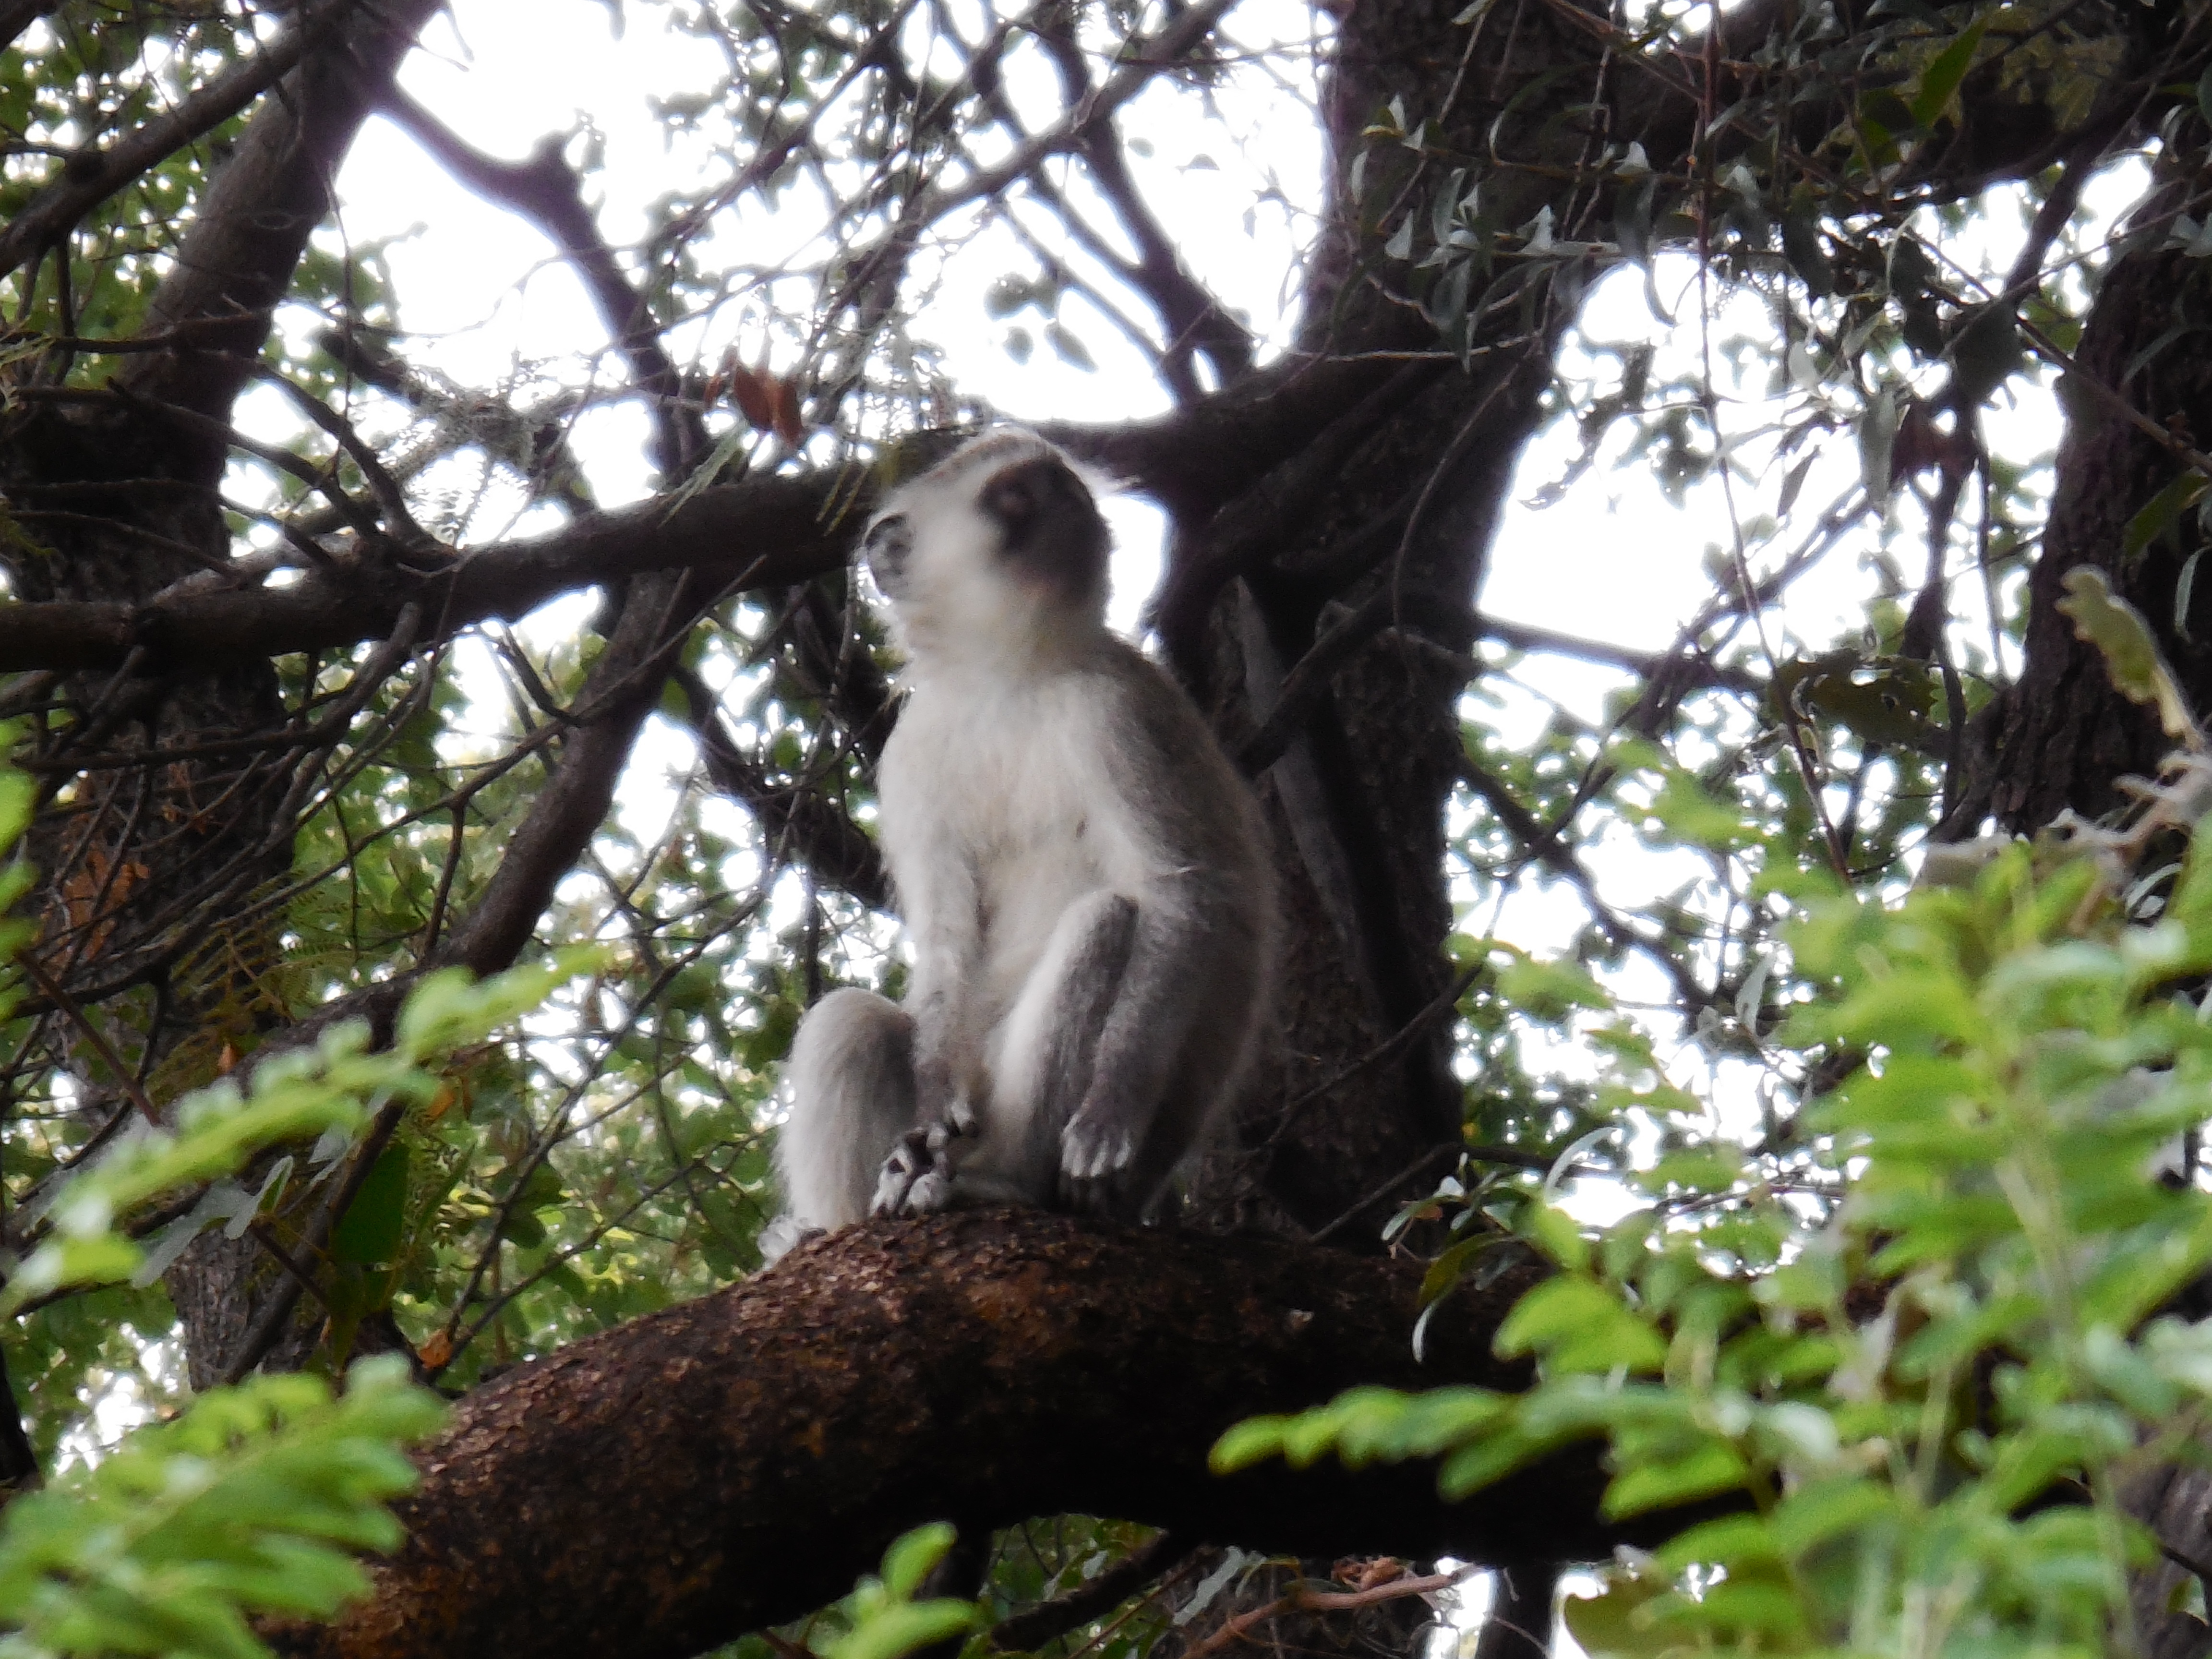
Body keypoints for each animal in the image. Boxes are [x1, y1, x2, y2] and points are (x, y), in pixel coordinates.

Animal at [769, 431, 1274, 1247]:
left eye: (1063, 485)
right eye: (1014, 496)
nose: (1071, 506)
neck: (1006, 676)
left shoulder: (1118, 712)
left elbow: (1180, 892)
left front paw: (1109, 1109)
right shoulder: (911, 754)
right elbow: (946, 942)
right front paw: (928, 1115)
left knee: (1106, 921)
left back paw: (1003, 1184)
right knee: (849, 1023)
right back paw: (845, 1219)